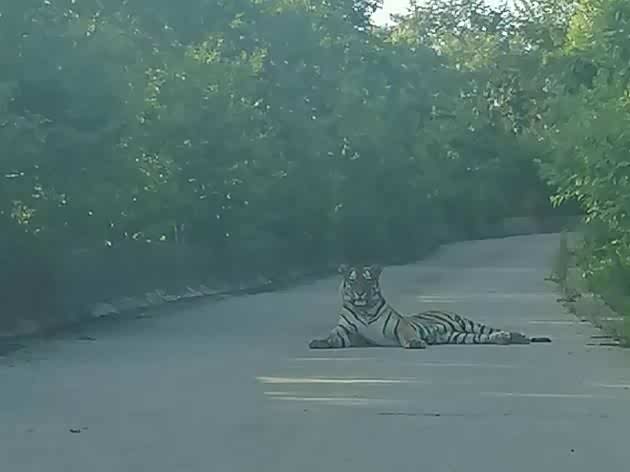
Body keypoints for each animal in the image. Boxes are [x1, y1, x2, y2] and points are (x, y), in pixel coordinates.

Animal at [309, 264, 552, 349]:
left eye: (368, 280)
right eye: (352, 280)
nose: (359, 292)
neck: (363, 310)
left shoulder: (400, 326)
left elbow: (406, 332)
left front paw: (415, 343)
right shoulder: (350, 333)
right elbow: (334, 337)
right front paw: (319, 342)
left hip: (469, 324)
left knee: (492, 330)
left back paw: (517, 336)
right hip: (458, 336)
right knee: (485, 337)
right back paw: (503, 339)